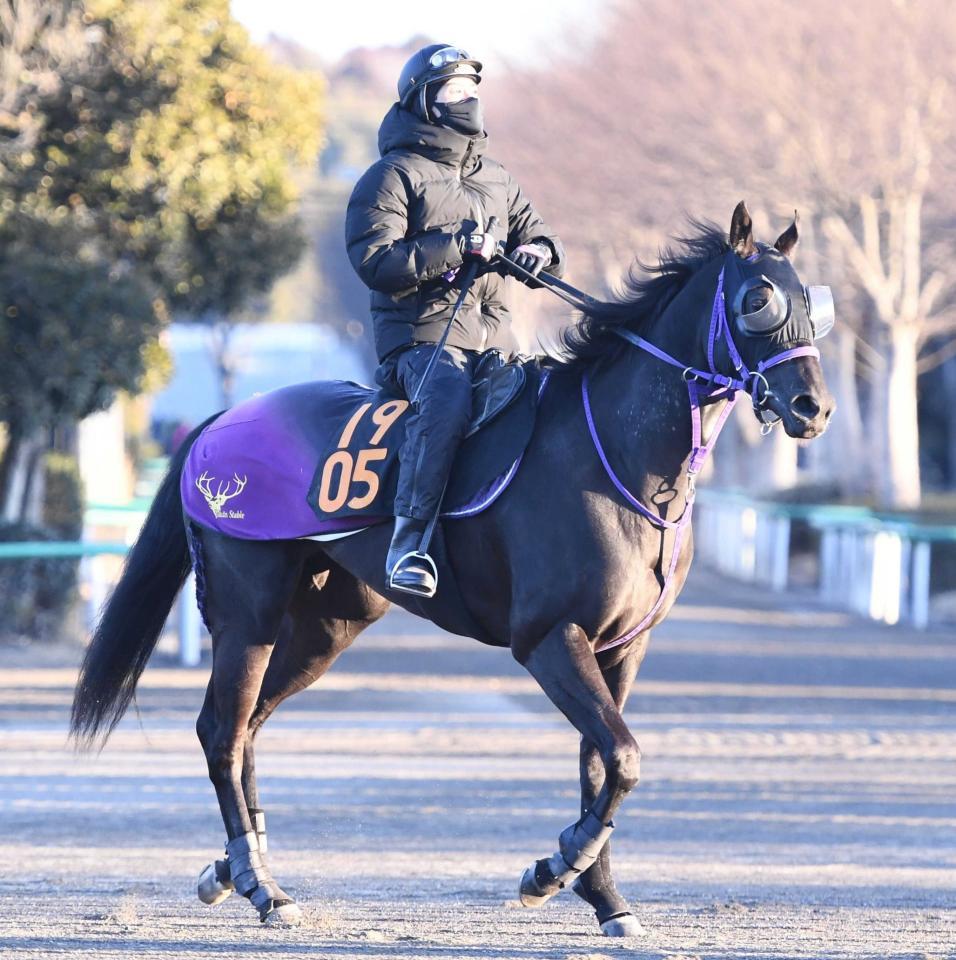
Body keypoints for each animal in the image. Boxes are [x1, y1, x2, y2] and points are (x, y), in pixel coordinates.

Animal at [71, 201, 832, 936]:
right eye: (758, 299)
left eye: (811, 300)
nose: (813, 407)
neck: (615, 456)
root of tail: (221, 419)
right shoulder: (549, 638)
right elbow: (622, 758)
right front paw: (553, 868)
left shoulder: (621, 649)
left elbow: (600, 763)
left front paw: (607, 899)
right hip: (247, 613)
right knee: (223, 733)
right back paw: (263, 887)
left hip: (327, 624)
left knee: (248, 725)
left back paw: (233, 866)